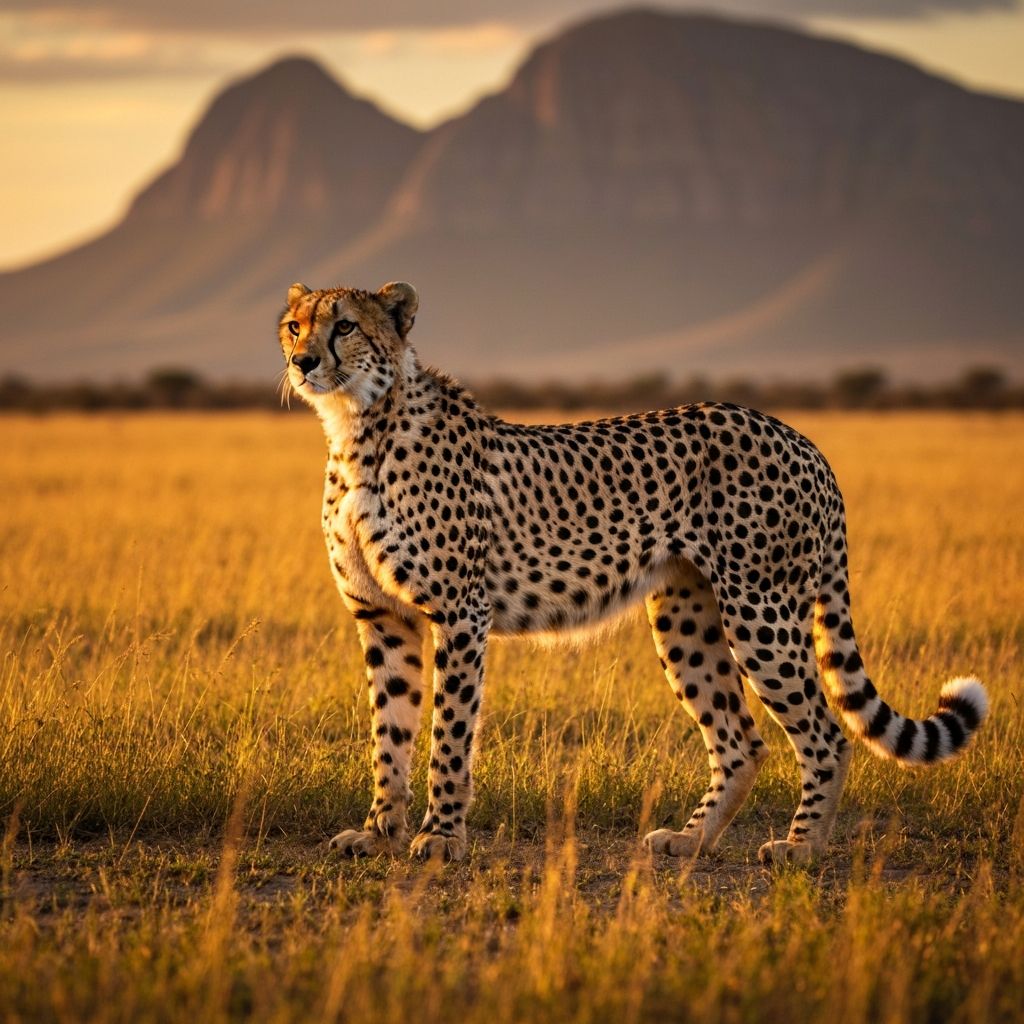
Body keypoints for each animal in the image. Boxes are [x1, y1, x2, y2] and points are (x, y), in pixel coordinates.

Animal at [278, 280, 988, 865]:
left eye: (345, 326)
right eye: (294, 325)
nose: (302, 362)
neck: (357, 429)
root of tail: (799, 437)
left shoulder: (459, 614)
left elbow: (448, 734)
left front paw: (440, 837)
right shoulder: (383, 618)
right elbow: (390, 732)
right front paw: (378, 833)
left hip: (760, 611)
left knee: (826, 734)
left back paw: (800, 848)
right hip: (685, 616)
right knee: (741, 739)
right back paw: (691, 840)